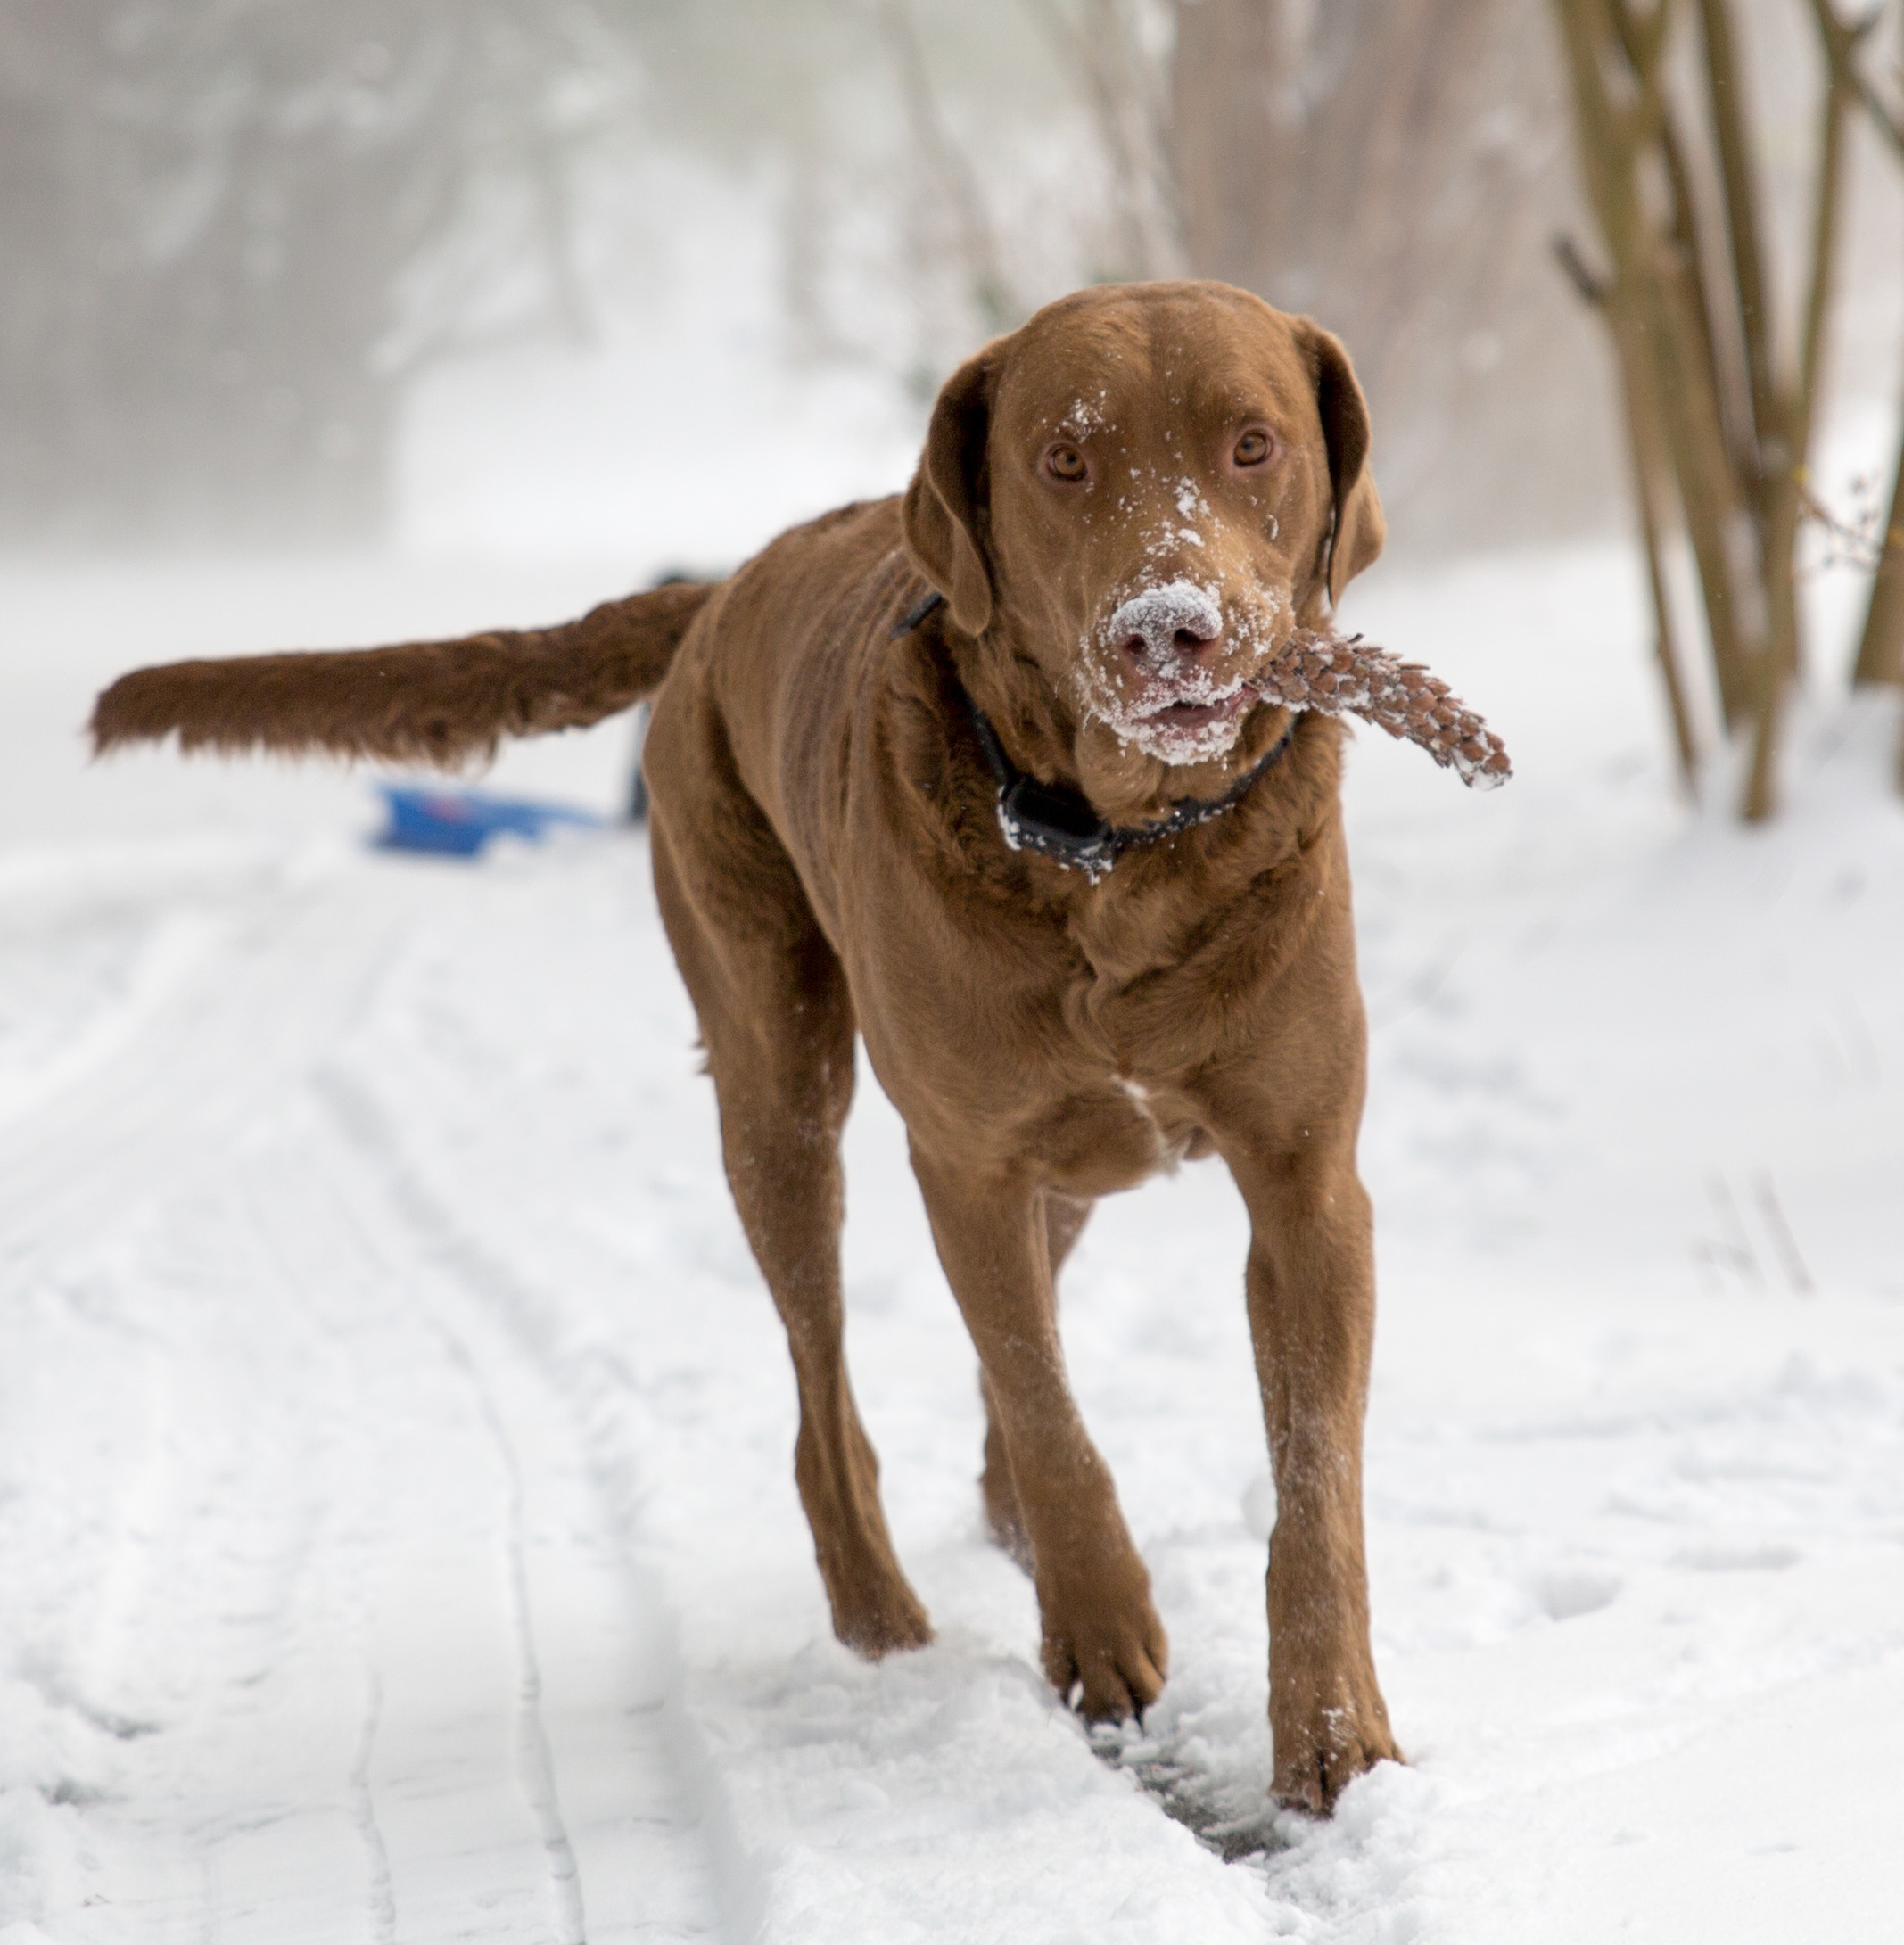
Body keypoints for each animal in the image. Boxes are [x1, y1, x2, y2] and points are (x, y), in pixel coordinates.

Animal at [103, 282, 1415, 1812]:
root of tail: (722, 583)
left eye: (1252, 445)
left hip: (1077, 1153)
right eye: (1062, 461)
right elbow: (1043, 1405)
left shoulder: (1305, 1179)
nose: (1169, 629)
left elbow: (1311, 1473)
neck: (1112, 850)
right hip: (776, 1085)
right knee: (821, 1387)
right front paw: (1098, 1627)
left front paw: (1331, 1731)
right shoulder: (964, 1162)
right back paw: (882, 1619)